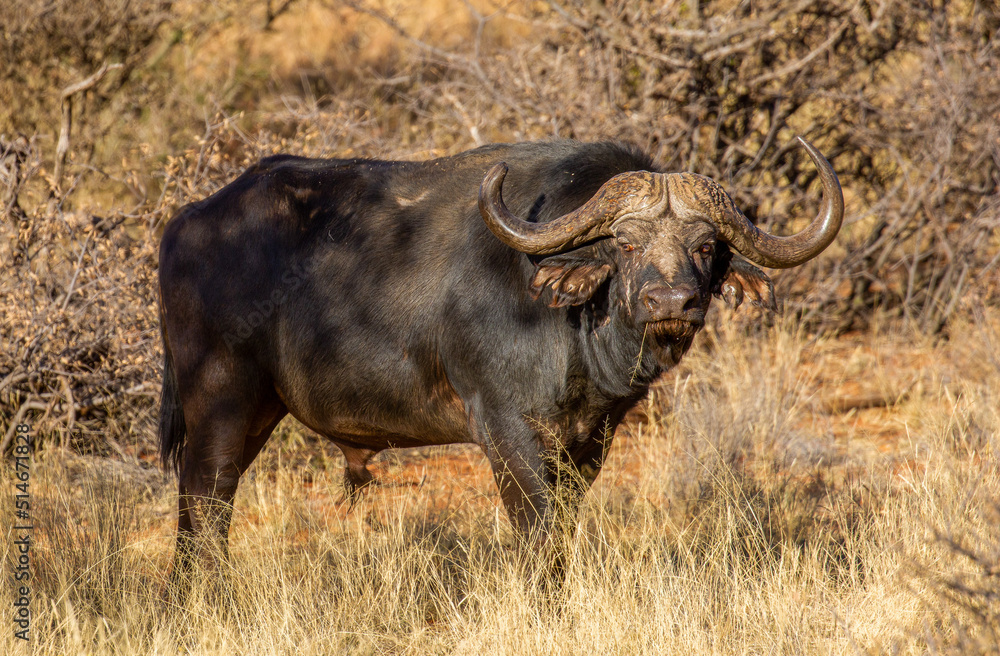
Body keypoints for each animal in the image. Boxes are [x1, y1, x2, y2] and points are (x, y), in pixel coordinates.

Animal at [158, 137, 844, 580]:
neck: (574, 327)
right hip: (220, 400)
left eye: (704, 246)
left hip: (257, 412)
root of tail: (185, 222)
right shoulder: (505, 429)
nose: (672, 301)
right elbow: (537, 535)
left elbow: (562, 528)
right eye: (624, 243)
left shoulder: (590, 440)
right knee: (205, 500)